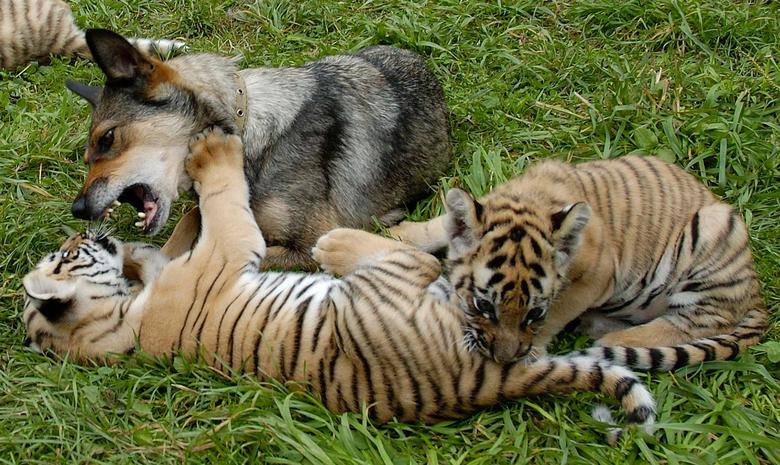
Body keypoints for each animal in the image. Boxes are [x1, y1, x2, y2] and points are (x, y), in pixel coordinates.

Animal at [65, 28, 450, 268]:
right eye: (86, 156)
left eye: (107, 139)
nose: (78, 209)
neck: (247, 129)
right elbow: (185, 226)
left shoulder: (312, 244)